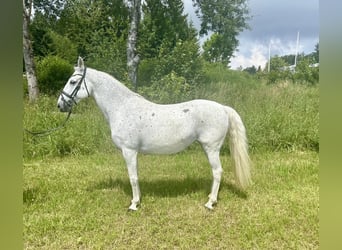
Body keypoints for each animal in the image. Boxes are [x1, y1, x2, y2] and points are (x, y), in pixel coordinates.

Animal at [57, 57, 251, 211]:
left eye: (73, 82)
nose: (60, 105)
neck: (122, 107)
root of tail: (223, 108)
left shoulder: (129, 151)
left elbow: (133, 177)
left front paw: (134, 204)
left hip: (211, 148)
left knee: (217, 172)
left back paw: (210, 203)